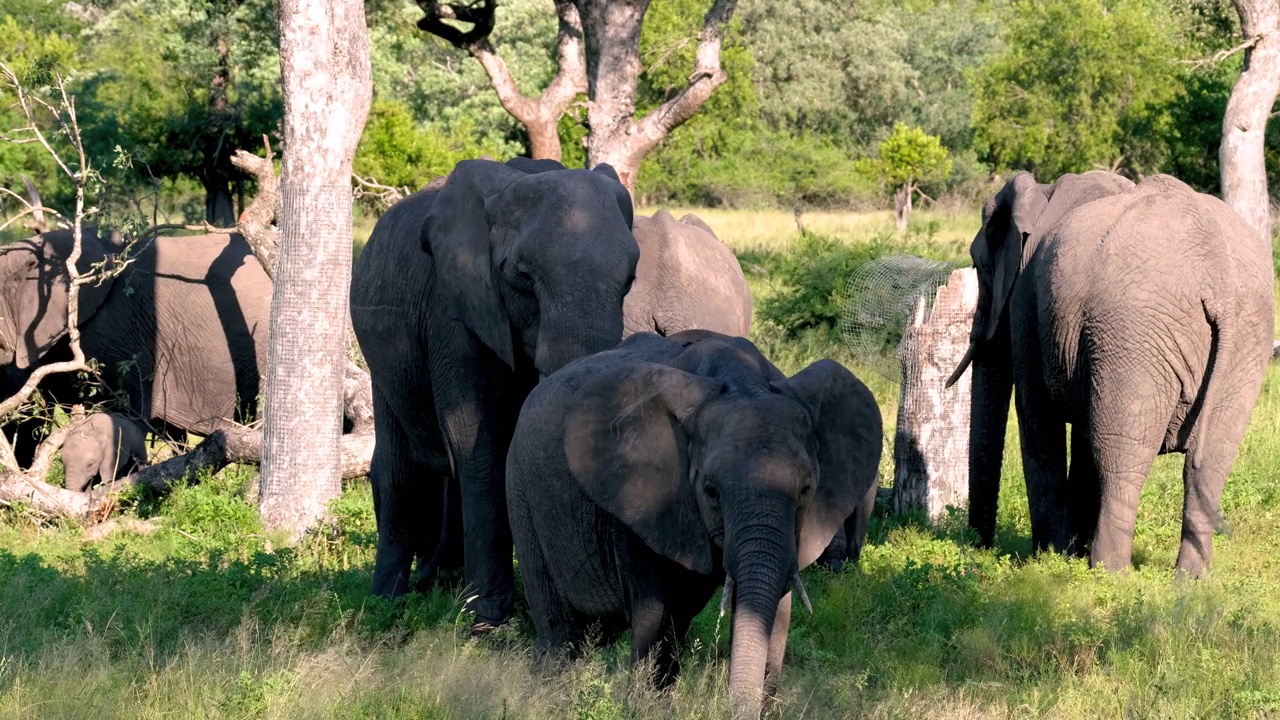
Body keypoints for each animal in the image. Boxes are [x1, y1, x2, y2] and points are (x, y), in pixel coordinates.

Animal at [348, 154, 637, 625]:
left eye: (630, 279)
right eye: (522, 277)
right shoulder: (453, 310)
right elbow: (474, 439)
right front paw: (485, 620)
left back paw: (441, 580)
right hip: (382, 355)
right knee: (398, 466)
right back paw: (388, 603)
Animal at [504, 330, 885, 717]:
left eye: (806, 490)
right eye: (711, 491)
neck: (743, 381)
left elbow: (777, 609)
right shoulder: (639, 499)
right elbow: (654, 612)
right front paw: (642, 710)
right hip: (520, 489)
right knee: (560, 629)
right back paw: (545, 695)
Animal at [947, 169, 1274, 576]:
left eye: (981, 268)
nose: (979, 547)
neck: (1043, 192)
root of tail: (1220, 278)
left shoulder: (1027, 302)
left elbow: (1038, 418)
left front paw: (1049, 558)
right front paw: (1066, 554)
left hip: (1135, 330)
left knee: (1121, 454)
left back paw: (1108, 572)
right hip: (1246, 339)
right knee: (1211, 461)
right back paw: (1190, 579)